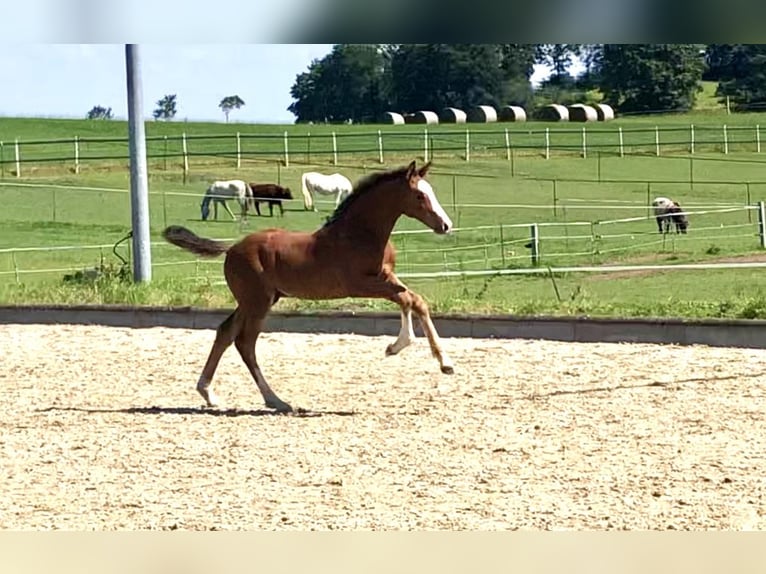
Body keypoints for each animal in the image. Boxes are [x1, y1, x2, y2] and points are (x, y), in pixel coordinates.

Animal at [164, 161, 456, 414]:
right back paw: (276, 400)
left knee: (225, 333)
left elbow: (417, 301)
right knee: (245, 342)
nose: (446, 225)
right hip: (257, 302)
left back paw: (209, 394)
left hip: (257, 300)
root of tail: (232, 248)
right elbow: (407, 299)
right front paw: (397, 347)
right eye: (419, 195)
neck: (359, 234)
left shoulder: (387, 277)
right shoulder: (361, 284)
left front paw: (445, 363)